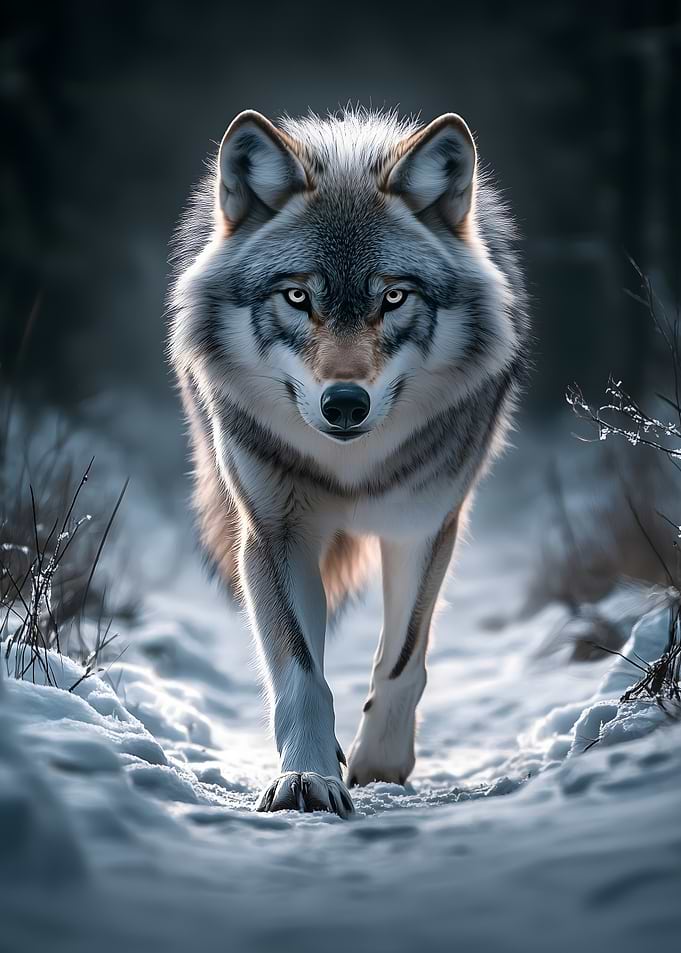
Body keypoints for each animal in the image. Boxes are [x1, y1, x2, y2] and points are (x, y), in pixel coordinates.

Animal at [169, 107, 528, 817]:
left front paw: (380, 764)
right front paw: (307, 779)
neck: (352, 466)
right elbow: (302, 676)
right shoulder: (274, 534)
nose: (343, 403)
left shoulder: (424, 526)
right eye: (297, 298)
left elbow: (403, 660)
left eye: (393, 298)